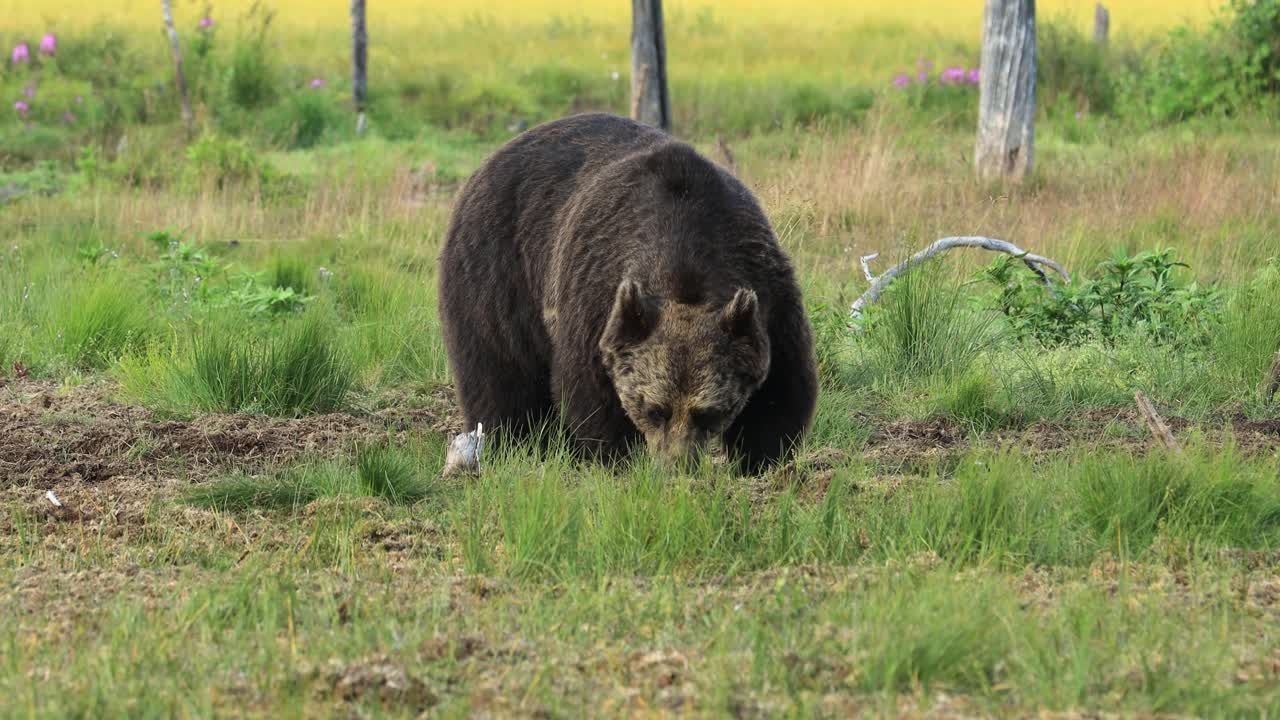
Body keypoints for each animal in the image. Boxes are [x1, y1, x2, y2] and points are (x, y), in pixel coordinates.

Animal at [437, 112, 817, 473]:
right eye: (655, 409)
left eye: (707, 412)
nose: (674, 466)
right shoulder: (595, 298)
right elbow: (592, 394)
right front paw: (616, 458)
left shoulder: (769, 296)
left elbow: (780, 391)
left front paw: (761, 460)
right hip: (498, 271)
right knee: (499, 368)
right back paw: (516, 440)